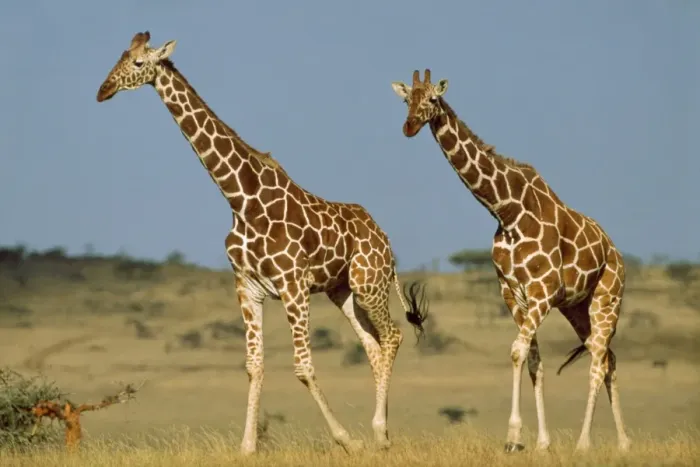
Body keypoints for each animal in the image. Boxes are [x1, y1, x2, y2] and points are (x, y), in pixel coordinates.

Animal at [95, 31, 429, 455]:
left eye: (139, 63)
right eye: (120, 56)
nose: (103, 90)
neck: (241, 199)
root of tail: (383, 238)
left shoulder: (292, 285)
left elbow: (303, 367)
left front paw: (346, 440)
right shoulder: (247, 287)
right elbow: (254, 366)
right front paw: (247, 447)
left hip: (369, 283)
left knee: (392, 336)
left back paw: (379, 433)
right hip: (343, 291)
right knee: (373, 345)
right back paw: (379, 433)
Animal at [391, 70, 630, 453]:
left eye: (432, 99)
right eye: (405, 100)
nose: (410, 126)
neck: (507, 210)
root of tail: (617, 254)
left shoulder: (542, 290)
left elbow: (517, 351)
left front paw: (513, 435)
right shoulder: (512, 292)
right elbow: (532, 358)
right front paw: (541, 442)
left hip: (608, 299)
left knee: (597, 360)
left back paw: (583, 443)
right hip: (577, 307)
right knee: (607, 355)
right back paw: (623, 442)